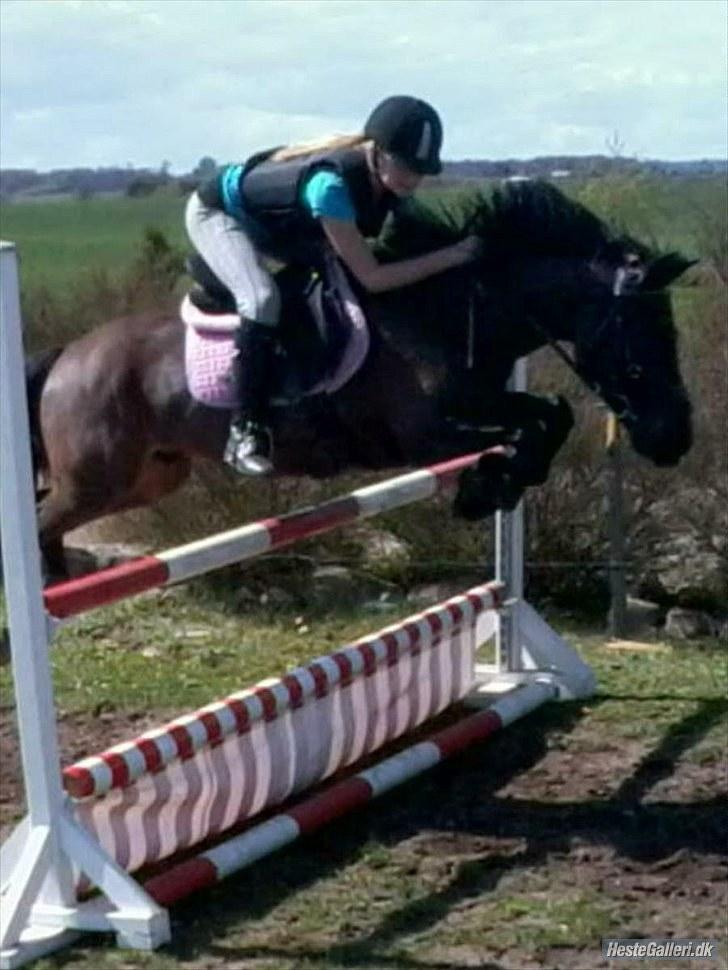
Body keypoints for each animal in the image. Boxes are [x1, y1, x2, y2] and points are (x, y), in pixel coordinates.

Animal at [25, 180, 692, 576]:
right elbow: (528, 426)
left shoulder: (485, 399)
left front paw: (492, 488)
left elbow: (551, 413)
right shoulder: (425, 435)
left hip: (150, 476)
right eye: (640, 334)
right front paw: (485, 487)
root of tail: (68, 357)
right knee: (41, 520)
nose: (674, 439)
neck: (448, 308)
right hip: (97, 479)